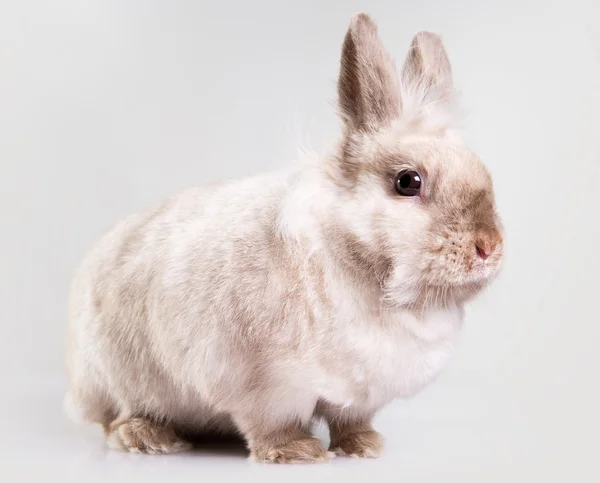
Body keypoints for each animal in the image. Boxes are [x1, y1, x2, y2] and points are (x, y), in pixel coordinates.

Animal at [65, 12, 504, 466]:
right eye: (408, 182)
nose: (488, 247)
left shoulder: (362, 396)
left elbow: (352, 421)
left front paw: (365, 447)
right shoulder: (267, 385)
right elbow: (271, 424)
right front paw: (297, 452)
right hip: (120, 377)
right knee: (115, 418)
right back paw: (150, 437)